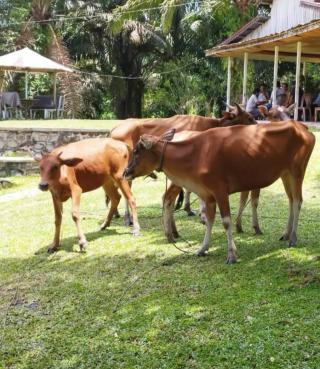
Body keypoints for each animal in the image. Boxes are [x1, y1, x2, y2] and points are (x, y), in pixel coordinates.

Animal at [123, 122, 316, 264]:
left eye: (136, 151)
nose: (125, 172)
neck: (197, 154)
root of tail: (302, 127)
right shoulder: (207, 195)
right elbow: (209, 221)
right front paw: (202, 248)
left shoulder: (220, 191)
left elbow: (225, 221)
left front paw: (231, 254)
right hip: (285, 174)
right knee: (291, 201)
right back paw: (286, 234)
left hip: (297, 171)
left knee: (298, 201)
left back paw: (293, 238)